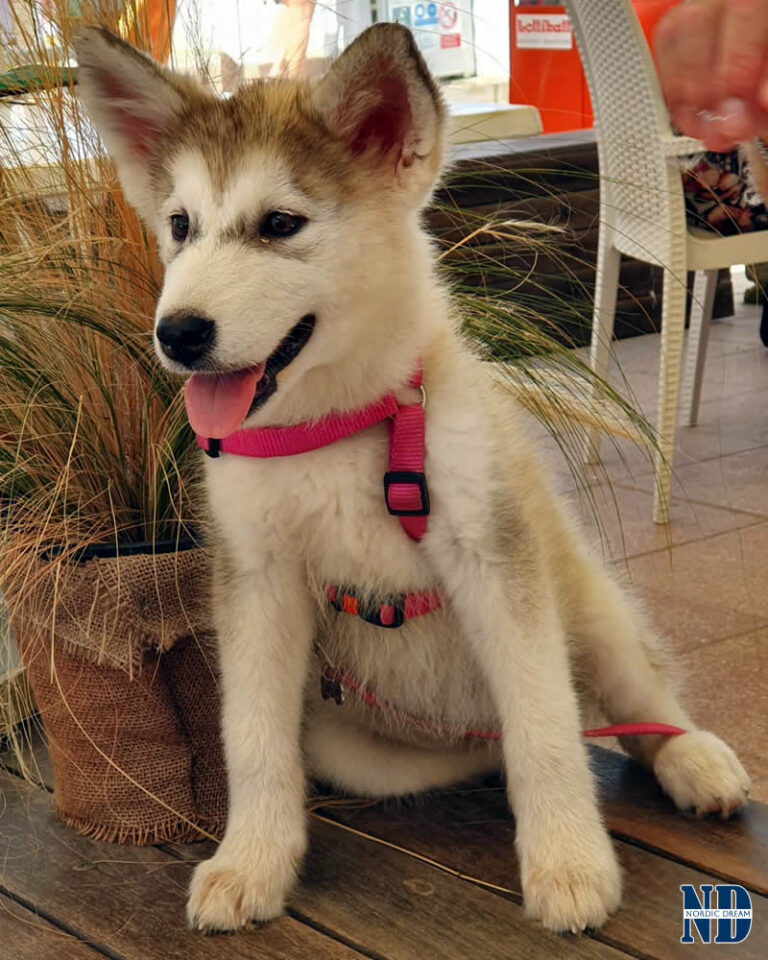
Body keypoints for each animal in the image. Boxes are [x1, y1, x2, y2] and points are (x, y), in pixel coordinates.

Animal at [78, 22, 752, 932]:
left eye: (280, 223)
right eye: (180, 224)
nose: (179, 334)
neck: (336, 426)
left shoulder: (495, 557)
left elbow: (544, 724)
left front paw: (569, 863)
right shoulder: (254, 580)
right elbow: (252, 737)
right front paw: (251, 861)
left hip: (585, 595)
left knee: (632, 700)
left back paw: (693, 760)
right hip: (357, 738)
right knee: (490, 747)